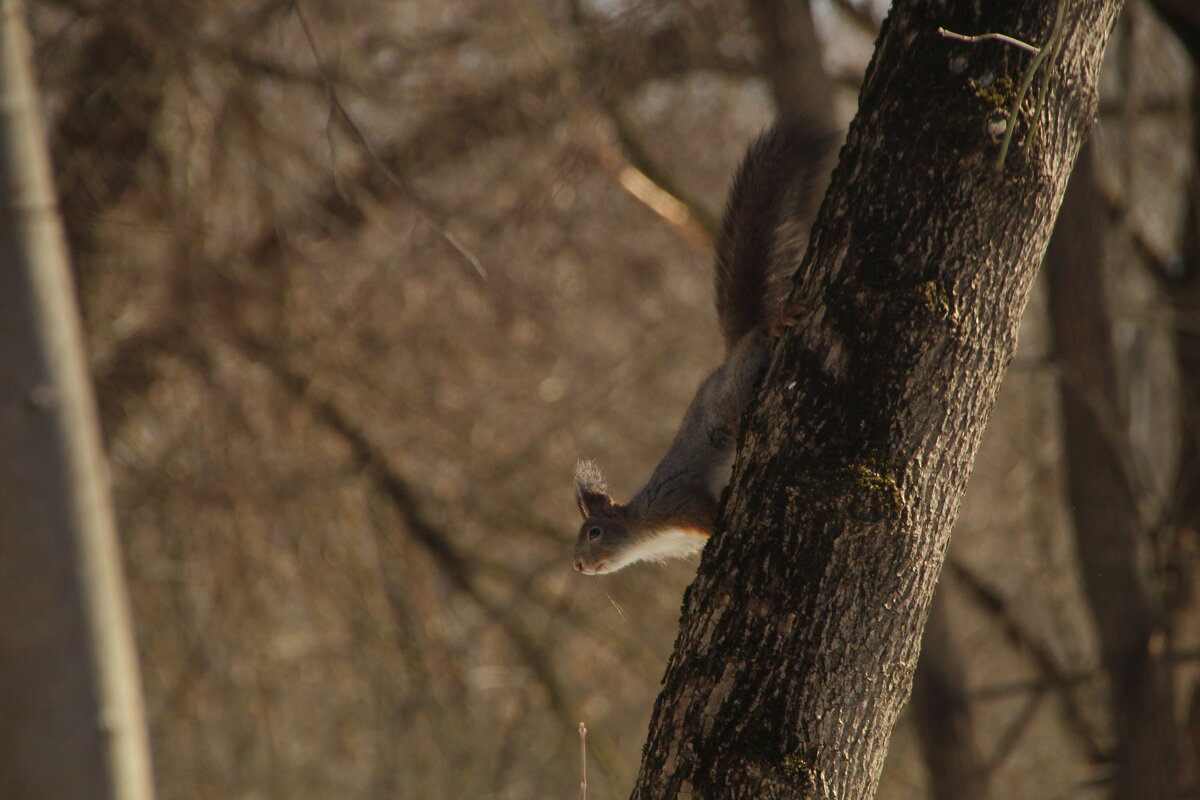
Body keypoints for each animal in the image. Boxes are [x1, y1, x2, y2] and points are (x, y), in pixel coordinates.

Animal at [573, 117, 835, 575]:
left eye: (594, 533)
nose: (577, 566)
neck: (644, 529)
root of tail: (731, 355)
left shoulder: (678, 502)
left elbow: (703, 511)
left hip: (741, 379)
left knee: (758, 338)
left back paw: (773, 324)